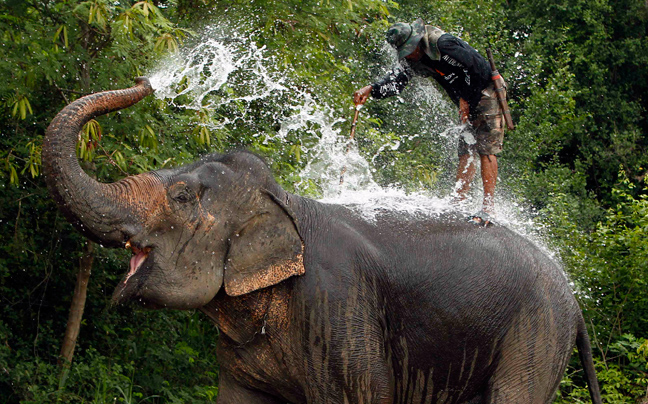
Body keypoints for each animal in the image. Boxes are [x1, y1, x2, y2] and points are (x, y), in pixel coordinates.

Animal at [41, 77, 604, 402]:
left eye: (180, 196)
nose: (145, 80)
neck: (287, 206)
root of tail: (575, 304)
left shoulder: (338, 313)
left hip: (535, 336)